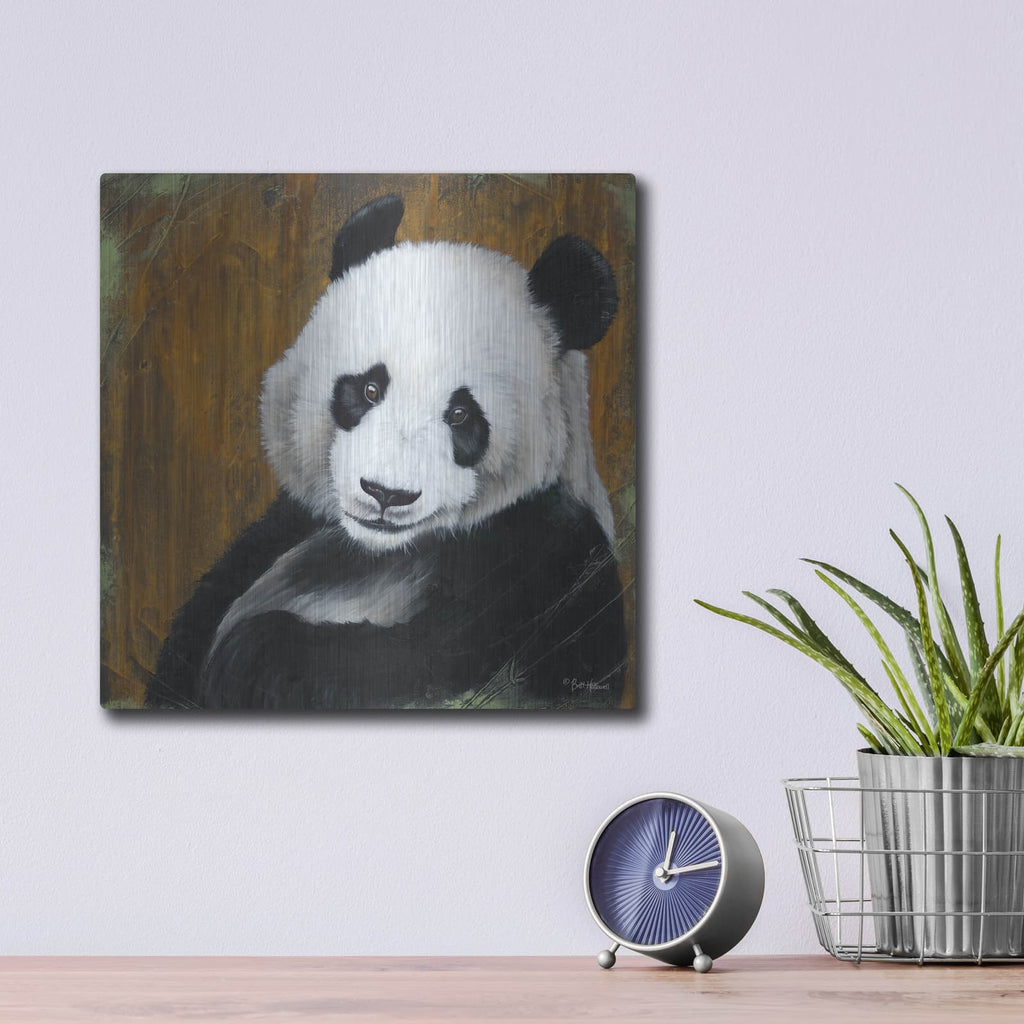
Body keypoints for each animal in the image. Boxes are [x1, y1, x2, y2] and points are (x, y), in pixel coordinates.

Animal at [148, 195, 627, 710]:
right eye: (369, 388)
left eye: (461, 414)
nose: (385, 494)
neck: (381, 551)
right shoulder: (295, 525)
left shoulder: (538, 560)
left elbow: (417, 659)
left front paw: (250, 657)